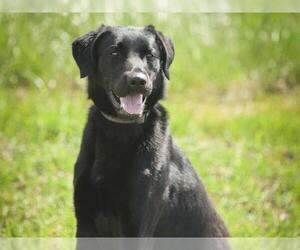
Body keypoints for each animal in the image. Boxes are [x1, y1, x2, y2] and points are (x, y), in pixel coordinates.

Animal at [71, 24, 229, 238]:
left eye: (150, 55)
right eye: (114, 52)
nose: (138, 81)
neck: (120, 129)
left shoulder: (138, 224)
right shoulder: (85, 222)